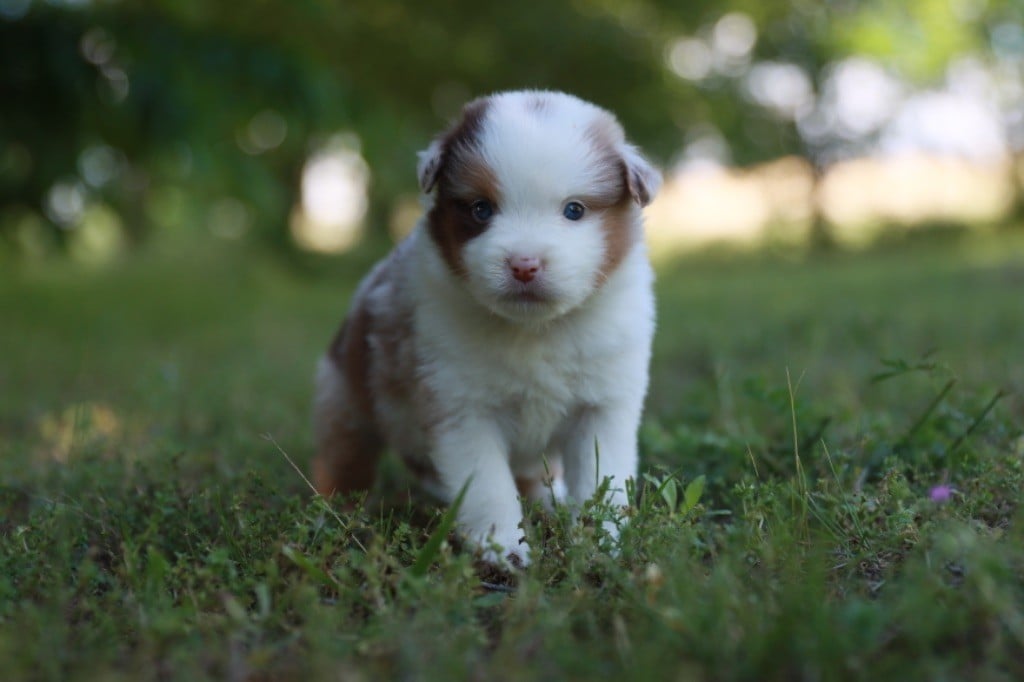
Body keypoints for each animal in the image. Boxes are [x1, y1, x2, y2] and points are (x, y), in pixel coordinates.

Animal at [311, 89, 659, 561]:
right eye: (481, 209)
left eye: (574, 210)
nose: (524, 265)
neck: (536, 330)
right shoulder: (462, 409)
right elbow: (489, 487)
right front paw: (505, 549)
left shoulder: (604, 406)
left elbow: (601, 480)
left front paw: (601, 543)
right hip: (345, 403)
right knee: (342, 465)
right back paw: (337, 520)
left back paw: (550, 501)